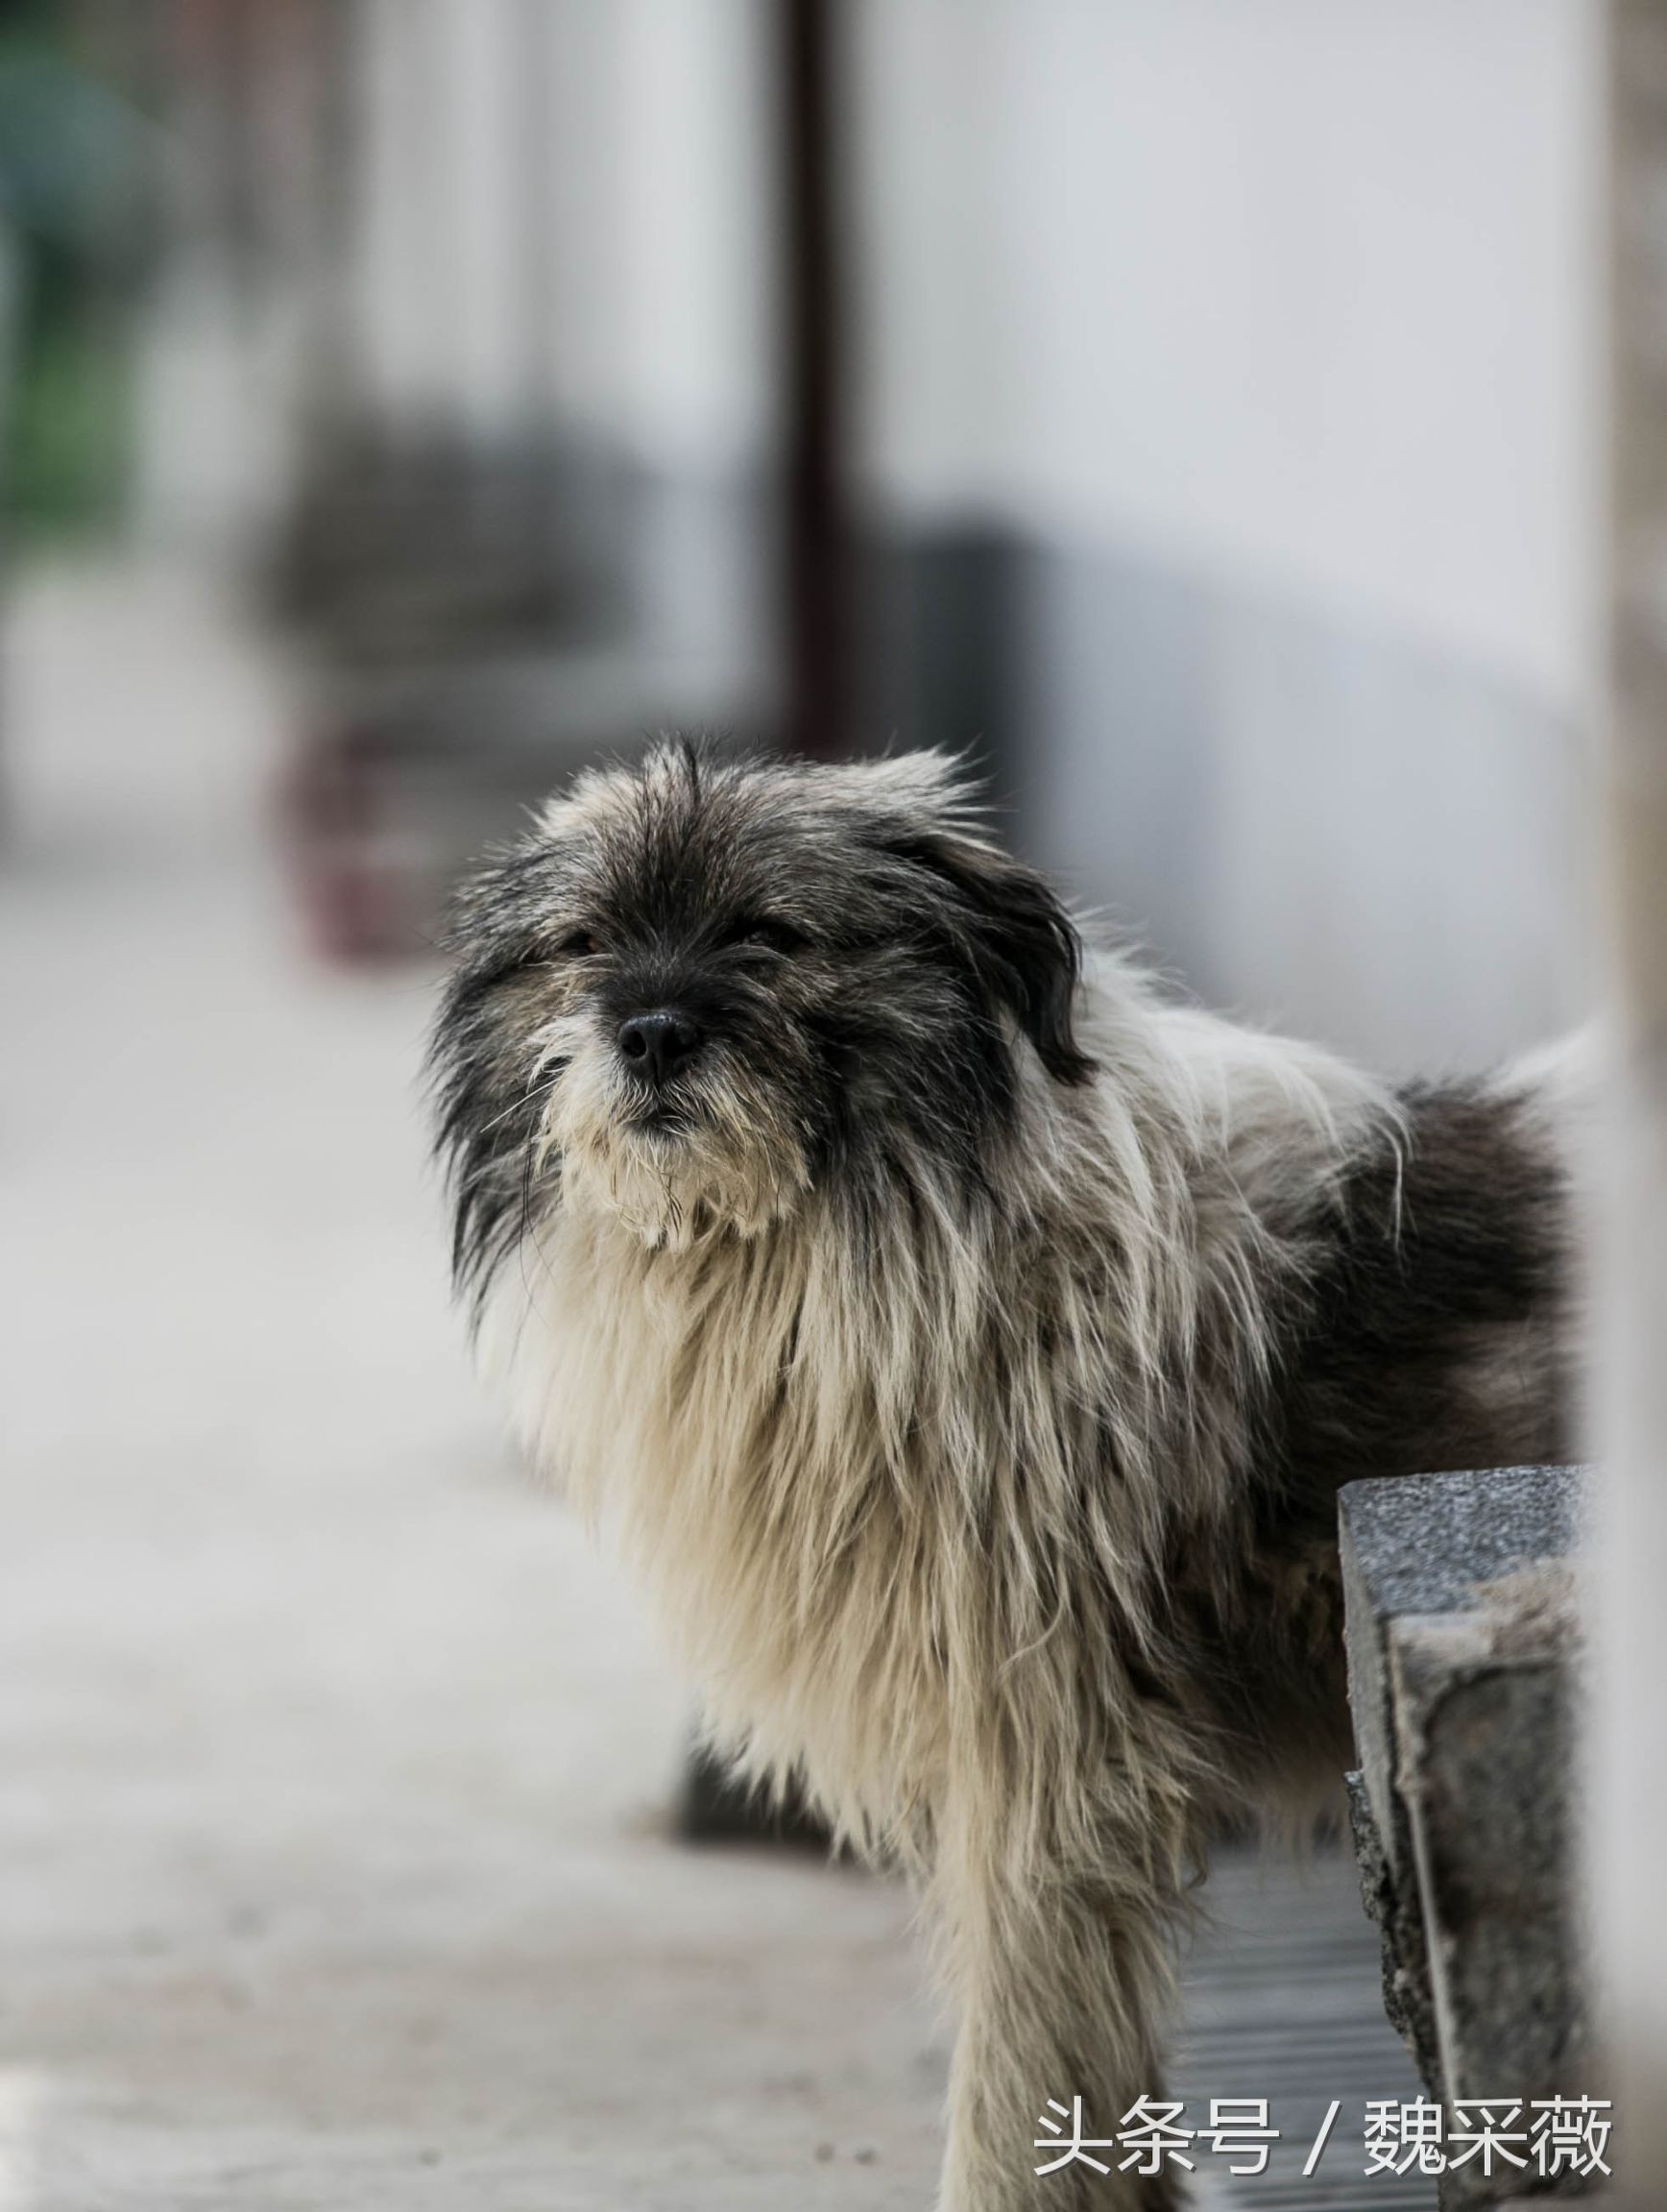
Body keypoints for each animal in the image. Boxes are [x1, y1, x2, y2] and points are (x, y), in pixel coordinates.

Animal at [424, 747, 1574, 2212]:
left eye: (769, 932)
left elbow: (1022, 2063)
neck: (916, 1219)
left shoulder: (1049, 1755)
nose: (651, 1033)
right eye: (580, 944)